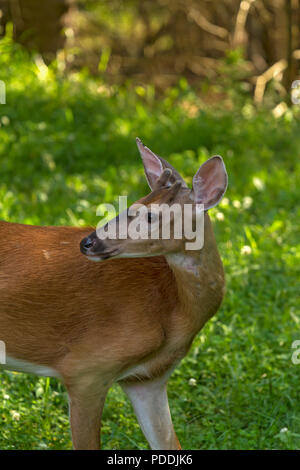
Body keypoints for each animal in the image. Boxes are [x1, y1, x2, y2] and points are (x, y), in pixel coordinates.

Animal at [0, 138, 227, 450]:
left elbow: (169, 444)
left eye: (150, 215)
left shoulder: (147, 379)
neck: (173, 311)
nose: (88, 242)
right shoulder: (84, 368)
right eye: (132, 204)